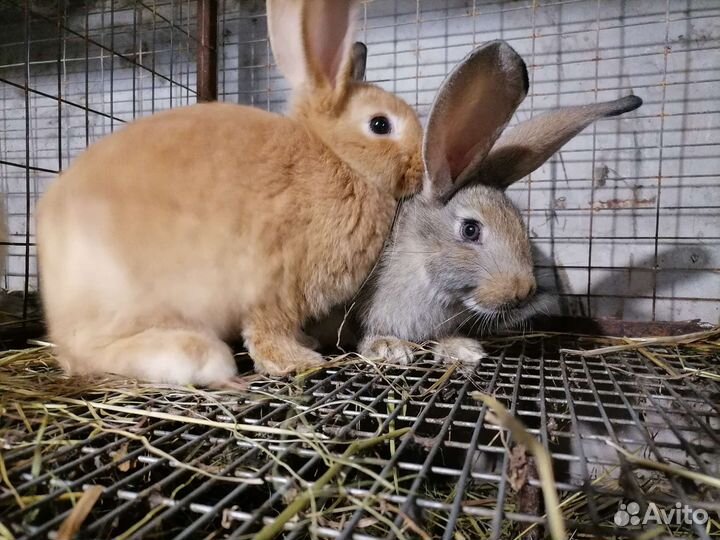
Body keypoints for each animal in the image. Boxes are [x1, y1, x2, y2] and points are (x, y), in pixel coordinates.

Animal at [36, 0, 424, 385]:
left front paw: (306, 342)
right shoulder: (276, 287)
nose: (423, 170)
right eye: (380, 124)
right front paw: (297, 360)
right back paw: (198, 357)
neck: (338, 157)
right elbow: (269, 332)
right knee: (90, 351)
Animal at [358, 40, 643, 365]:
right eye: (470, 230)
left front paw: (462, 348)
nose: (523, 291)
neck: (420, 259)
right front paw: (386, 347)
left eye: (521, 224)